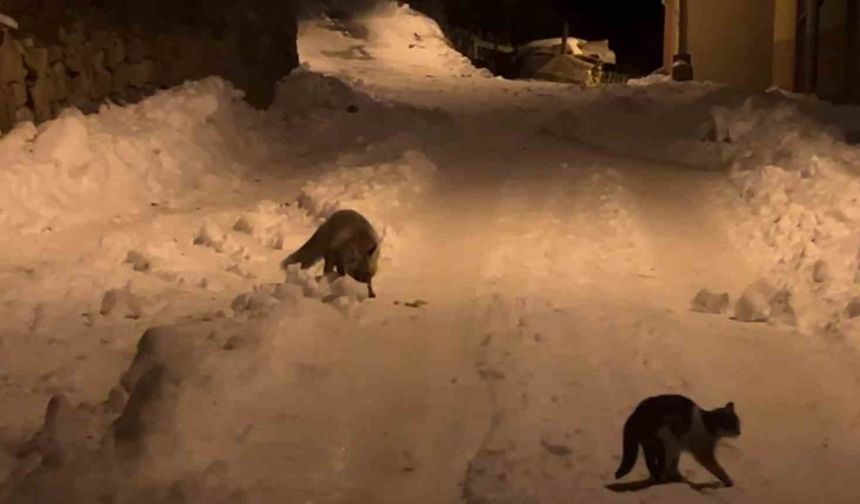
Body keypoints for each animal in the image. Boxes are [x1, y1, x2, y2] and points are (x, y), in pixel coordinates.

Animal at [616, 394, 744, 488]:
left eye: (738, 424)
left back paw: (676, 478)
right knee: (663, 469)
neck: (709, 425)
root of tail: (634, 416)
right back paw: (671, 481)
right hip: (668, 441)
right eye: (733, 424)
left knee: (656, 467)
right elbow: (718, 469)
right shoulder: (703, 453)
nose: (739, 432)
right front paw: (728, 481)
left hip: (661, 445)